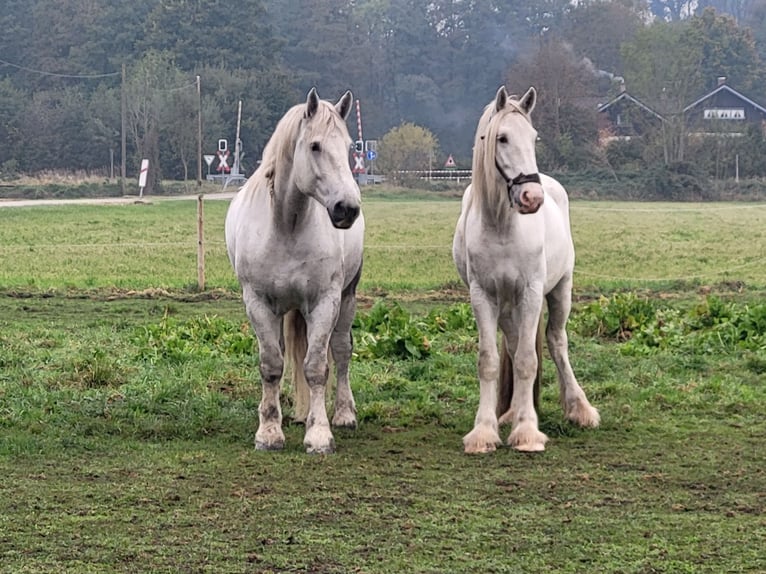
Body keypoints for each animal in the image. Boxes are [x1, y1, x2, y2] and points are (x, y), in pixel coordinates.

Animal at [226, 89, 364, 454]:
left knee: (341, 351)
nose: (347, 209)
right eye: (315, 146)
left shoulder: (324, 302)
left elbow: (316, 367)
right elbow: (272, 365)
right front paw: (269, 432)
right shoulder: (258, 303)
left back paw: (344, 413)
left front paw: (319, 435)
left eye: (350, 147)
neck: (287, 225)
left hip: (347, 297)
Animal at [452, 86, 604, 454]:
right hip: (508, 306)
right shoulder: (482, 296)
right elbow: (490, 360)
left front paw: (527, 432)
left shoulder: (532, 292)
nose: (531, 196)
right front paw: (485, 431)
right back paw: (510, 413)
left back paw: (579, 408)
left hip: (560, 291)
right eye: (502, 138)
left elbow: (527, 360)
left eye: (534, 138)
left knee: (556, 341)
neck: (502, 227)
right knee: (512, 343)